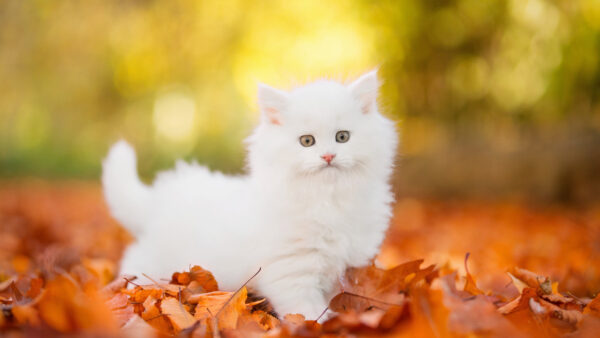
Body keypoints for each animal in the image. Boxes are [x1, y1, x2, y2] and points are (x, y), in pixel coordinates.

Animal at [103, 69, 398, 320]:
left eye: (342, 137)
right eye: (307, 141)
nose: (328, 156)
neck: (327, 198)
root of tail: (158, 200)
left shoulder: (350, 266)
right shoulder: (292, 274)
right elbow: (309, 313)